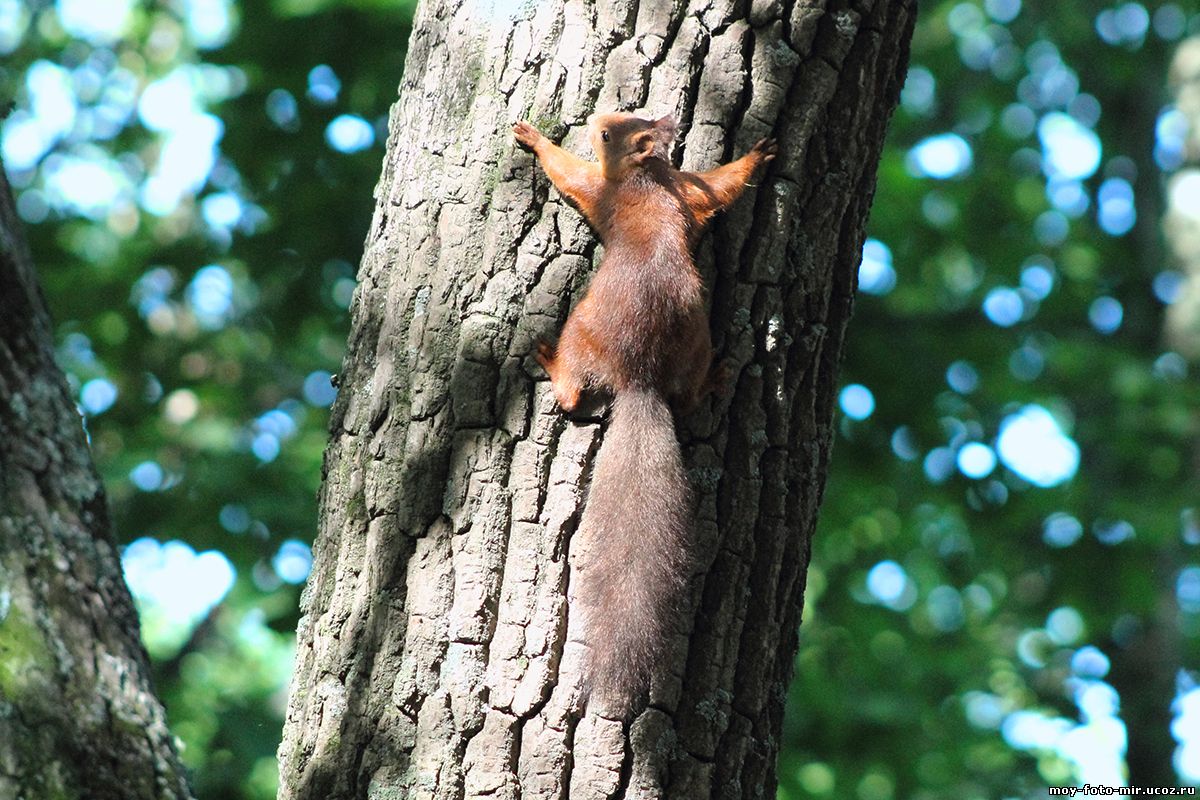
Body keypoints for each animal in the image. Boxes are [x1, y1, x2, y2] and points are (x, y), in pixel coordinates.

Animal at [508, 112, 772, 714]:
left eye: (609, 136)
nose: (595, 119)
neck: (647, 179)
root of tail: (640, 379)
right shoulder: (689, 191)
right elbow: (720, 185)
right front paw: (759, 156)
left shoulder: (600, 191)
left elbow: (569, 173)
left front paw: (535, 139)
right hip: (695, 348)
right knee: (690, 395)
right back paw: (716, 379)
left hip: (582, 328)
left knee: (571, 392)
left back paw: (549, 364)